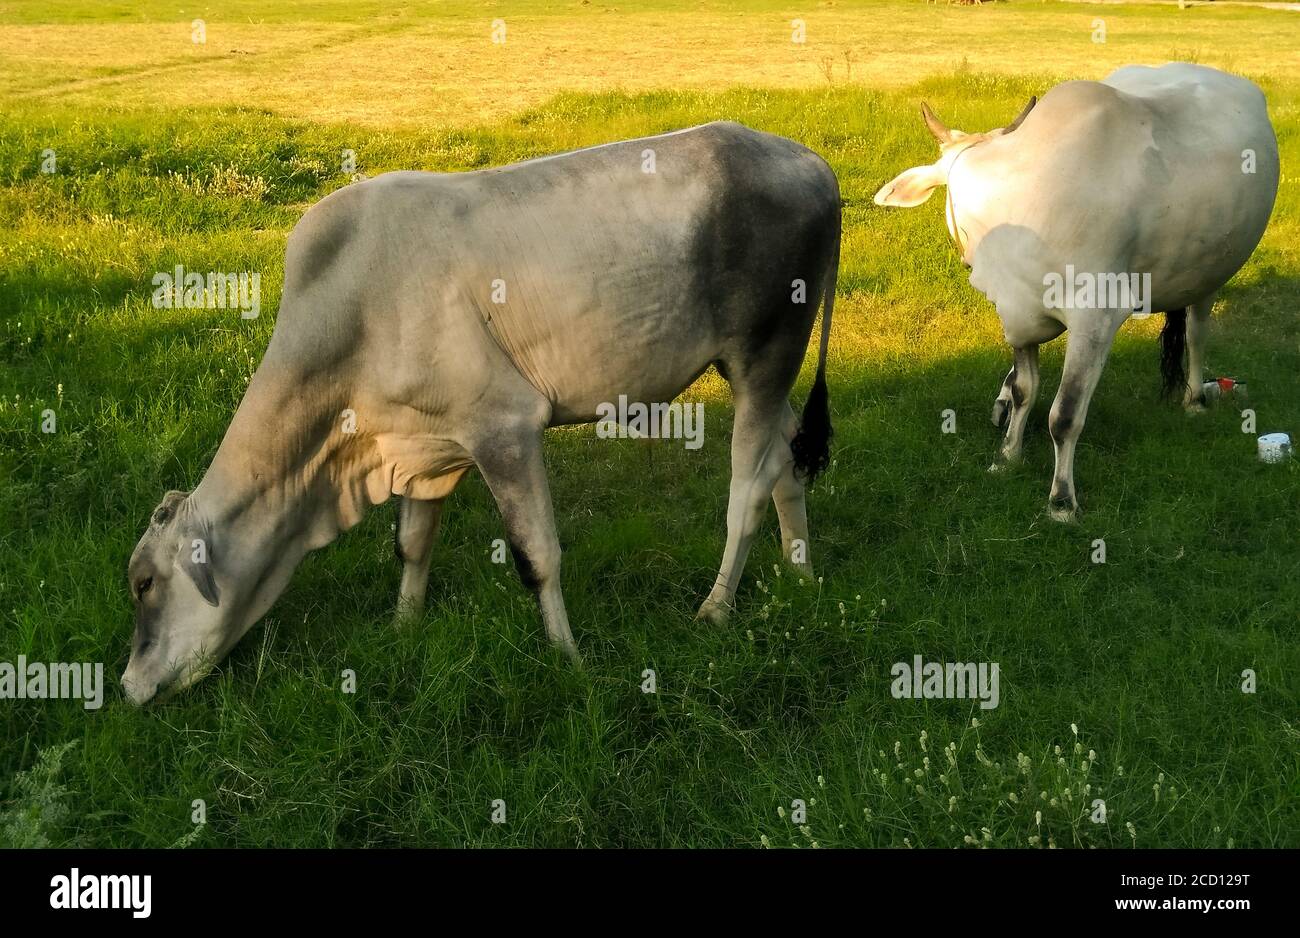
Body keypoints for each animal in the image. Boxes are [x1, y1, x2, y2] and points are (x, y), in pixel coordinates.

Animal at [121, 121, 841, 705]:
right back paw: (802, 575)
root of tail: (809, 160)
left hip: (766, 351)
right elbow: (412, 543)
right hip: (756, 368)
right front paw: (404, 627)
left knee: (750, 484)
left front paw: (569, 661)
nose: (127, 686)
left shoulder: (504, 428)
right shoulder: (423, 445)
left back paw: (716, 608)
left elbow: (537, 556)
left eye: (144, 584)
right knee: (788, 462)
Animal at [873, 63, 1279, 521]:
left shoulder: (1096, 318)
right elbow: (1024, 390)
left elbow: (1065, 415)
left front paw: (1062, 500)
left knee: (1195, 333)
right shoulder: (1018, 314)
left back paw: (1193, 400)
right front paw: (1007, 455)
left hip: (1211, 272)